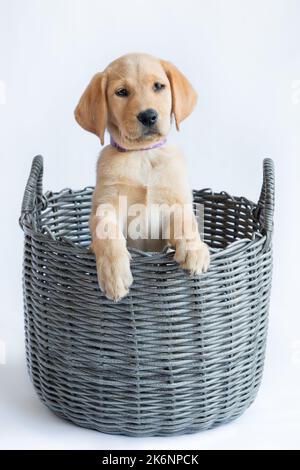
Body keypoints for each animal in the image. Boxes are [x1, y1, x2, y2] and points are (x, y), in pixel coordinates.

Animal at [75, 52, 209, 302]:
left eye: (158, 86)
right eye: (121, 92)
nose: (148, 116)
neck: (142, 155)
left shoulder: (175, 201)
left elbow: (186, 220)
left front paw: (194, 249)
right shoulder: (106, 204)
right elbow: (106, 231)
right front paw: (114, 273)